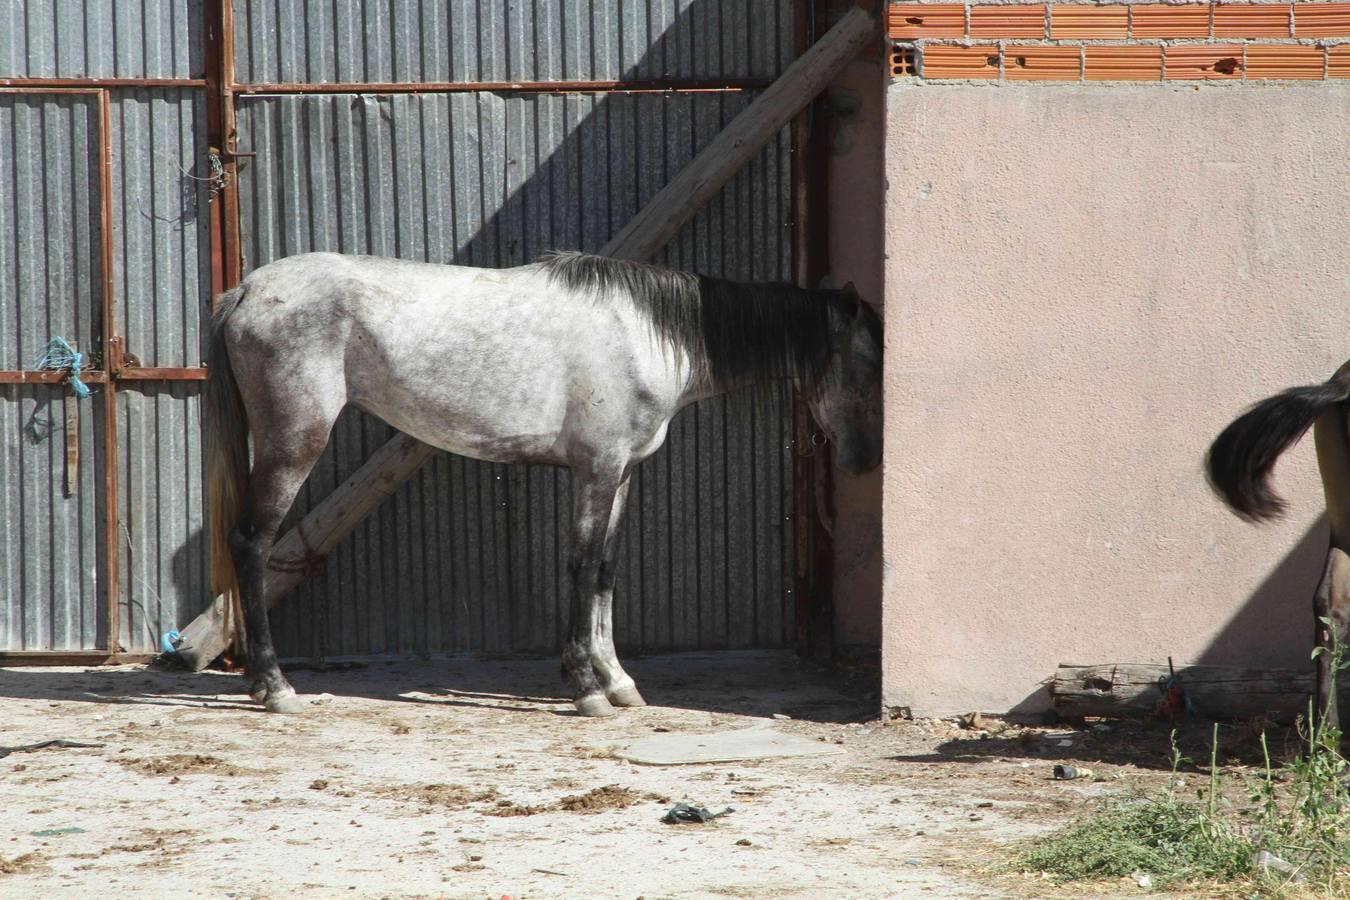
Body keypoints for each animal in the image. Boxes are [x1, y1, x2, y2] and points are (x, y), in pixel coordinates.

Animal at [207, 253, 885, 717]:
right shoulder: (596, 469)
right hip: (294, 443)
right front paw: (586, 689)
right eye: (869, 361)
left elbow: (606, 571)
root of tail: (246, 290)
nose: (865, 462)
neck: (644, 336)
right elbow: (581, 569)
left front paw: (620, 682)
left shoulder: (623, 472)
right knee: (252, 545)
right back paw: (276, 686)